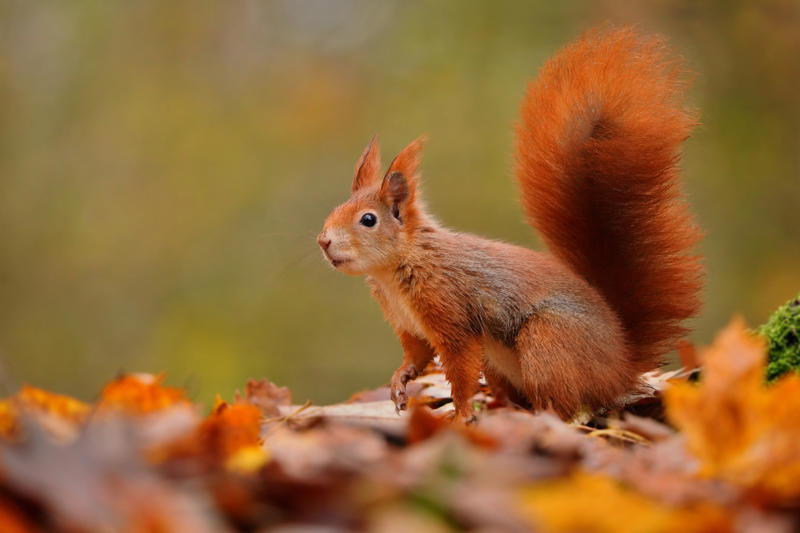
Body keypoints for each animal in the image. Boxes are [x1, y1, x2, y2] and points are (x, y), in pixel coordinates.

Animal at [317, 27, 703, 421]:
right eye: (336, 209)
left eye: (368, 220)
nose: (323, 241)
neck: (396, 269)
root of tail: (620, 364)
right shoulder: (411, 327)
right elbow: (417, 357)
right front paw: (399, 382)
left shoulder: (450, 312)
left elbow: (460, 368)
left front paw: (460, 414)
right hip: (500, 365)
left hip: (548, 340)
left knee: (569, 404)